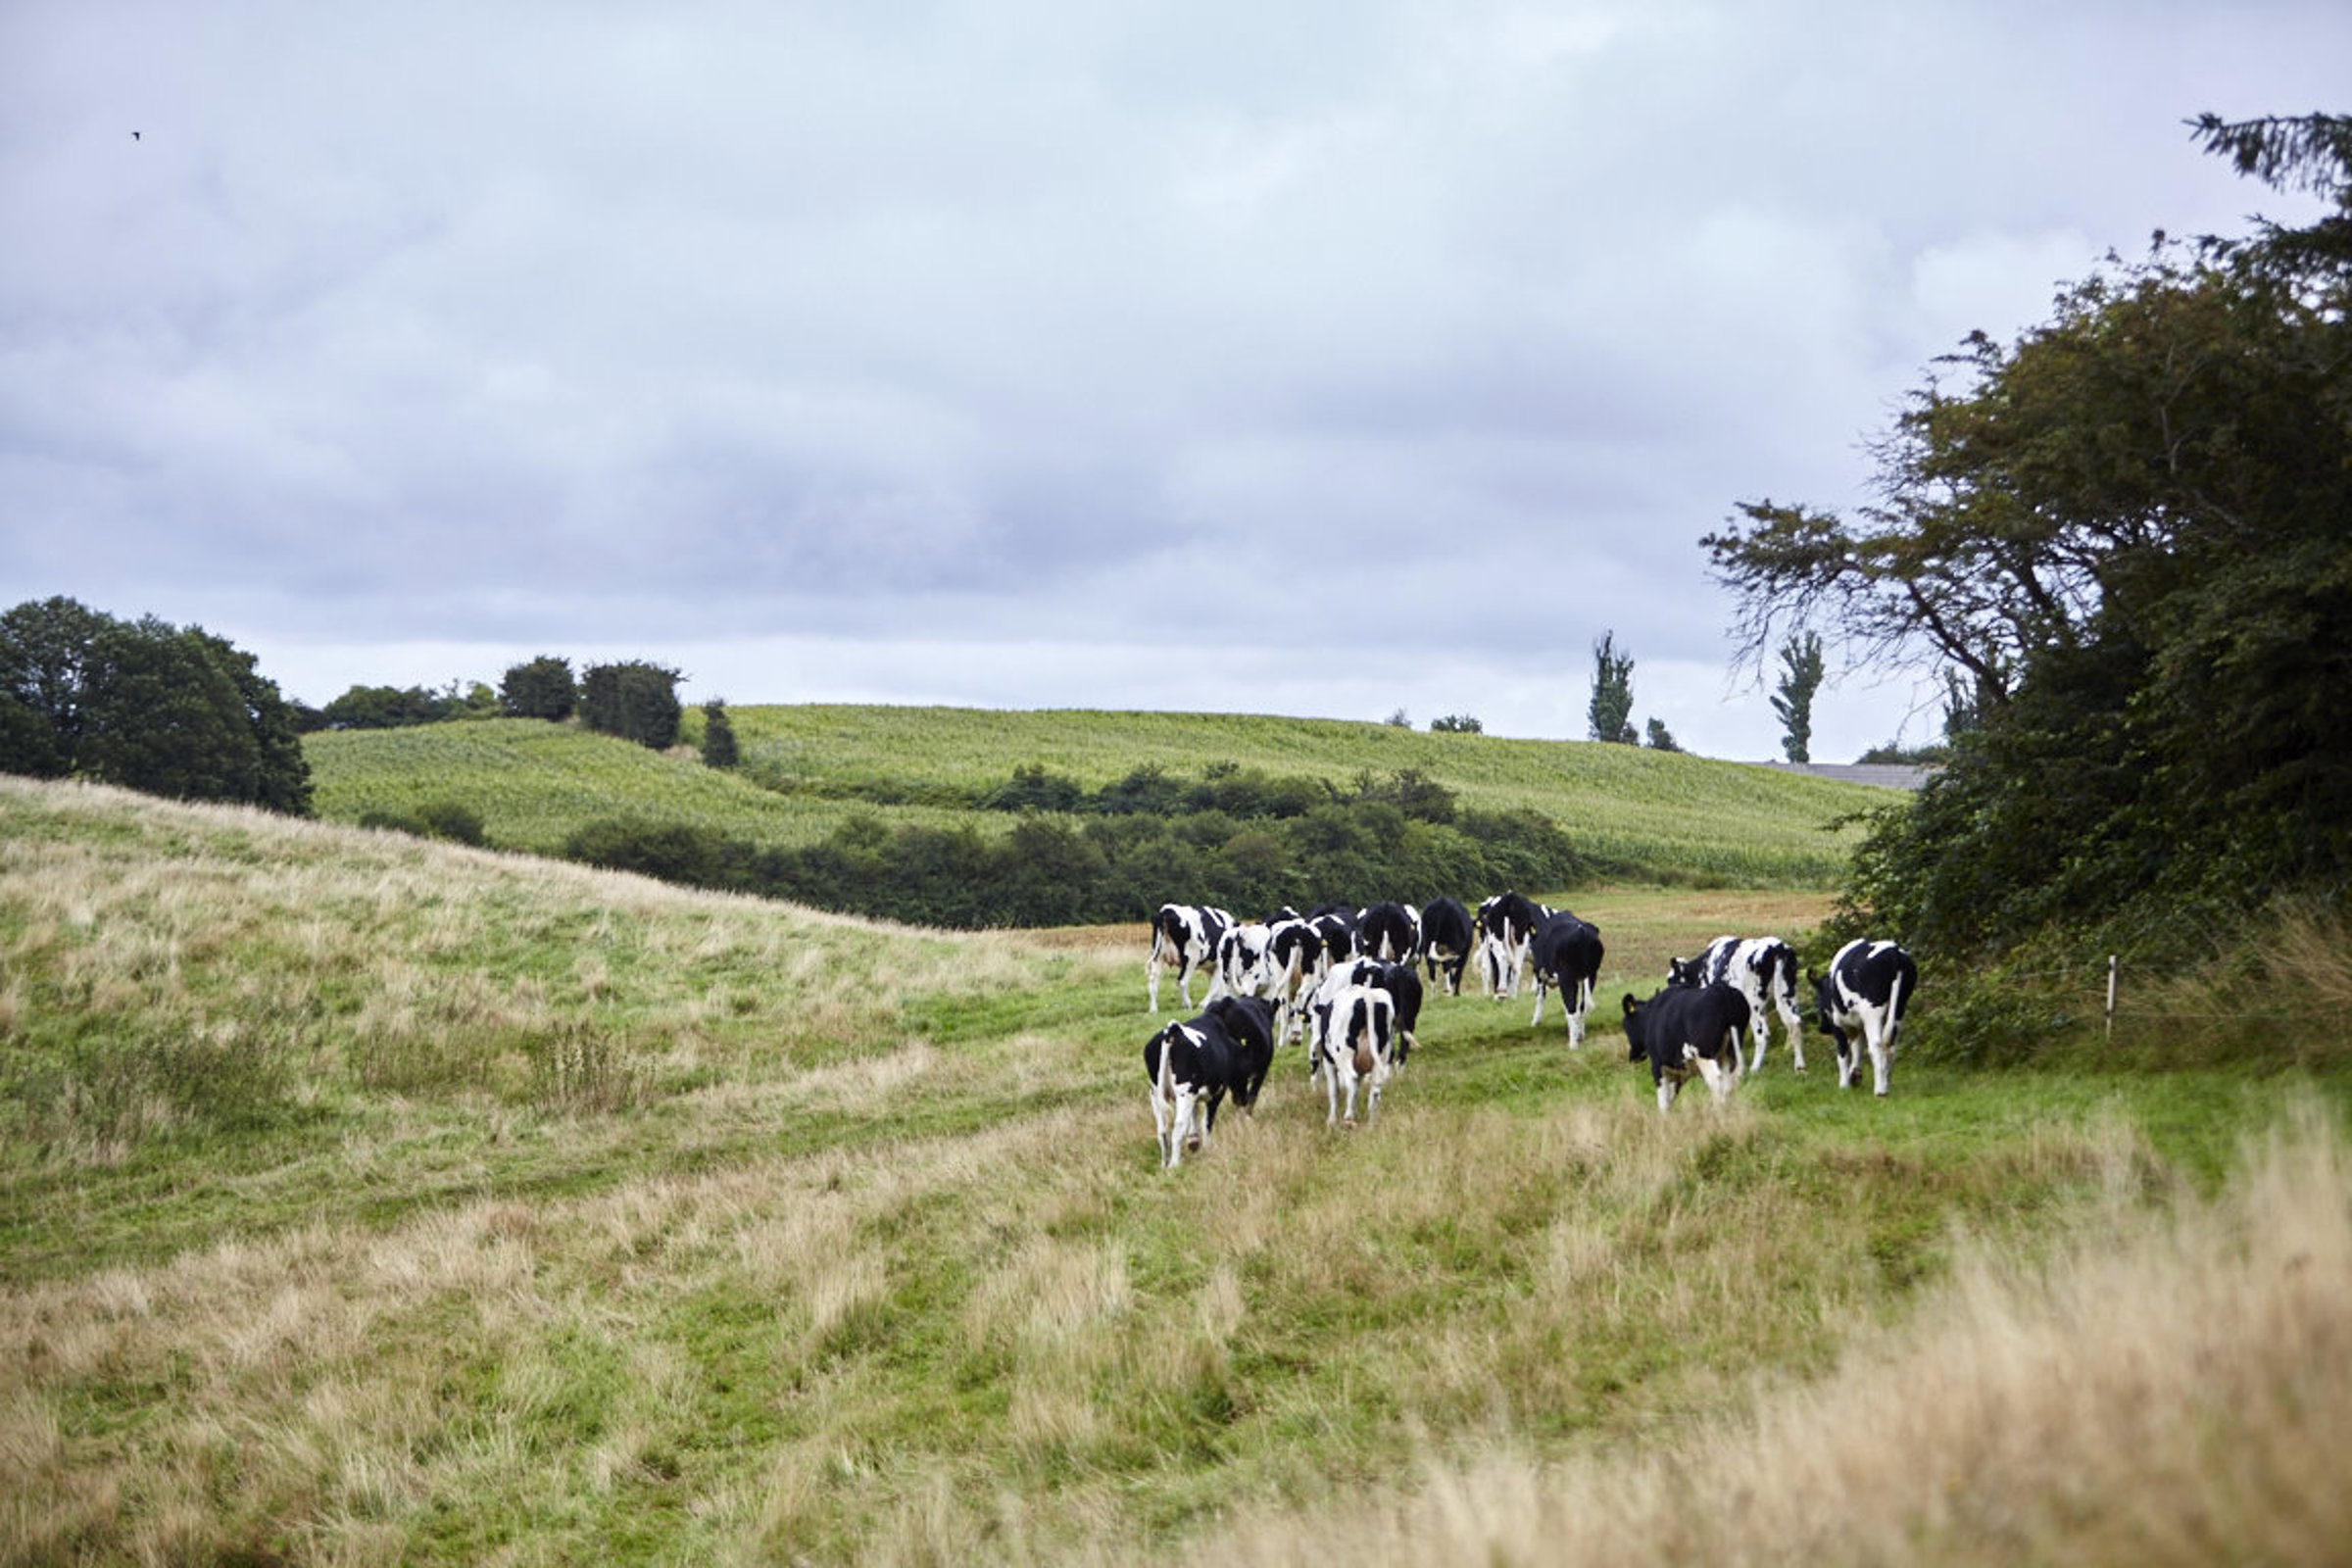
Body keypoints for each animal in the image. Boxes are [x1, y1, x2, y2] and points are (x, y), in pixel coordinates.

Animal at [1143, 1001, 1279, 1170]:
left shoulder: (1195, 1094)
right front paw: (1207, 1149)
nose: (1242, 1100)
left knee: (1161, 1131)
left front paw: (1194, 1141)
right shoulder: (1215, 1093)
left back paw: (1164, 1164)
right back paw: (1174, 1164)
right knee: (1179, 1126)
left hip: (1155, 1093)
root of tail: (1173, 1031)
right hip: (1184, 1093)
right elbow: (1206, 1122)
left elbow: (1194, 1115)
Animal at [1533, 911, 1608, 1048]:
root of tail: (1581, 931)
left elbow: (1540, 996)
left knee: (1572, 1009)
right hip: (1592, 975)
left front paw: (1535, 1021)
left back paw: (1573, 1044)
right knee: (1581, 1008)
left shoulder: (1539, 971)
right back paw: (1580, 1035)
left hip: (1566, 977)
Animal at [1618, 982, 1749, 1114]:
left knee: (1716, 1080)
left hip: (1704, 1055)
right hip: (1727, 1053)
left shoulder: (1657, 1065)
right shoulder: (1679, 1071)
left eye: (1625, 1026)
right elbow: (1670, 1099)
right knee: (1728, 1084)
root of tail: (1724, 990)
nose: (1632, 1056)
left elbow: (1663, 1103)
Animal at [1665, 930, 1806, 1081]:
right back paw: (1800, 1068)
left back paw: (1754, 1069)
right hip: (1787, 994)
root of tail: (1777, 947)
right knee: (1795, 1024)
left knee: (1763, 1034)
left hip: (1754, 1002)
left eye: (1670, 979)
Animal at [1806, 940, 1919, 1100]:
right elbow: (1857, 1048)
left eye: (1817, 998)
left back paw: (1880, 1091)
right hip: (1899, 1009)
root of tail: (1894, 951)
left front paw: (1844, 1085)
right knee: (1890, 1047)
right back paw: (1886, 1084)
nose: (1822, 1028)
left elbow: (1843, 1053)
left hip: (1872, 1012)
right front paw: (1855, 1076)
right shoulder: (1858, 1024)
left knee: (1876, 1046)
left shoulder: (1837, 1023)